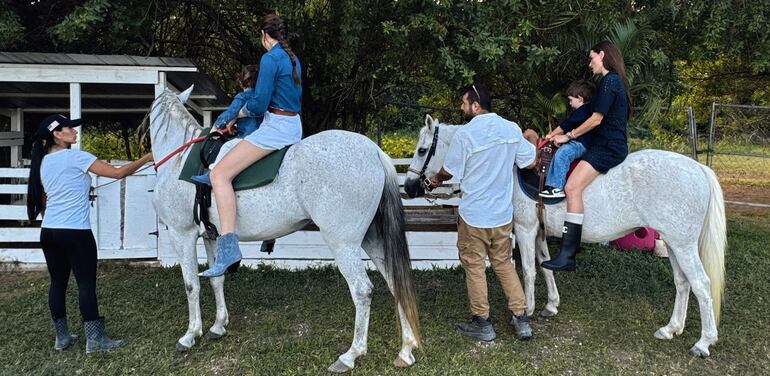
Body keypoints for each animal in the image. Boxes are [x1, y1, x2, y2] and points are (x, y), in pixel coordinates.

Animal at [145, 88, 420, 374]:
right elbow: (215, 279)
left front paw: (190, 335)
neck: (179, 162)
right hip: (371, 239)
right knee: (396, 283)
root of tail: (374, 150)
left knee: (362, 290)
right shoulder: (212, 237)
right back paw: (406, 349)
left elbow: (191, 285)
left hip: (344, 244)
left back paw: (351, 355)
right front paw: (218, 325)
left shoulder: (182, 234)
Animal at [404, 115, 724, 358]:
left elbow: (529, 270)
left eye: (421, 150)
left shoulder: (525, 229)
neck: (512, 167)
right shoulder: (539, 231)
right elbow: (546, 266)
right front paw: (550, 305)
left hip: (682, 245)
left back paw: (703, 342)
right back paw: (671, 328)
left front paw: (526, 310)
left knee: (701, 284)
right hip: (673, 243)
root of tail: (697, 168)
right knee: (683, 284)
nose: (409, 187)